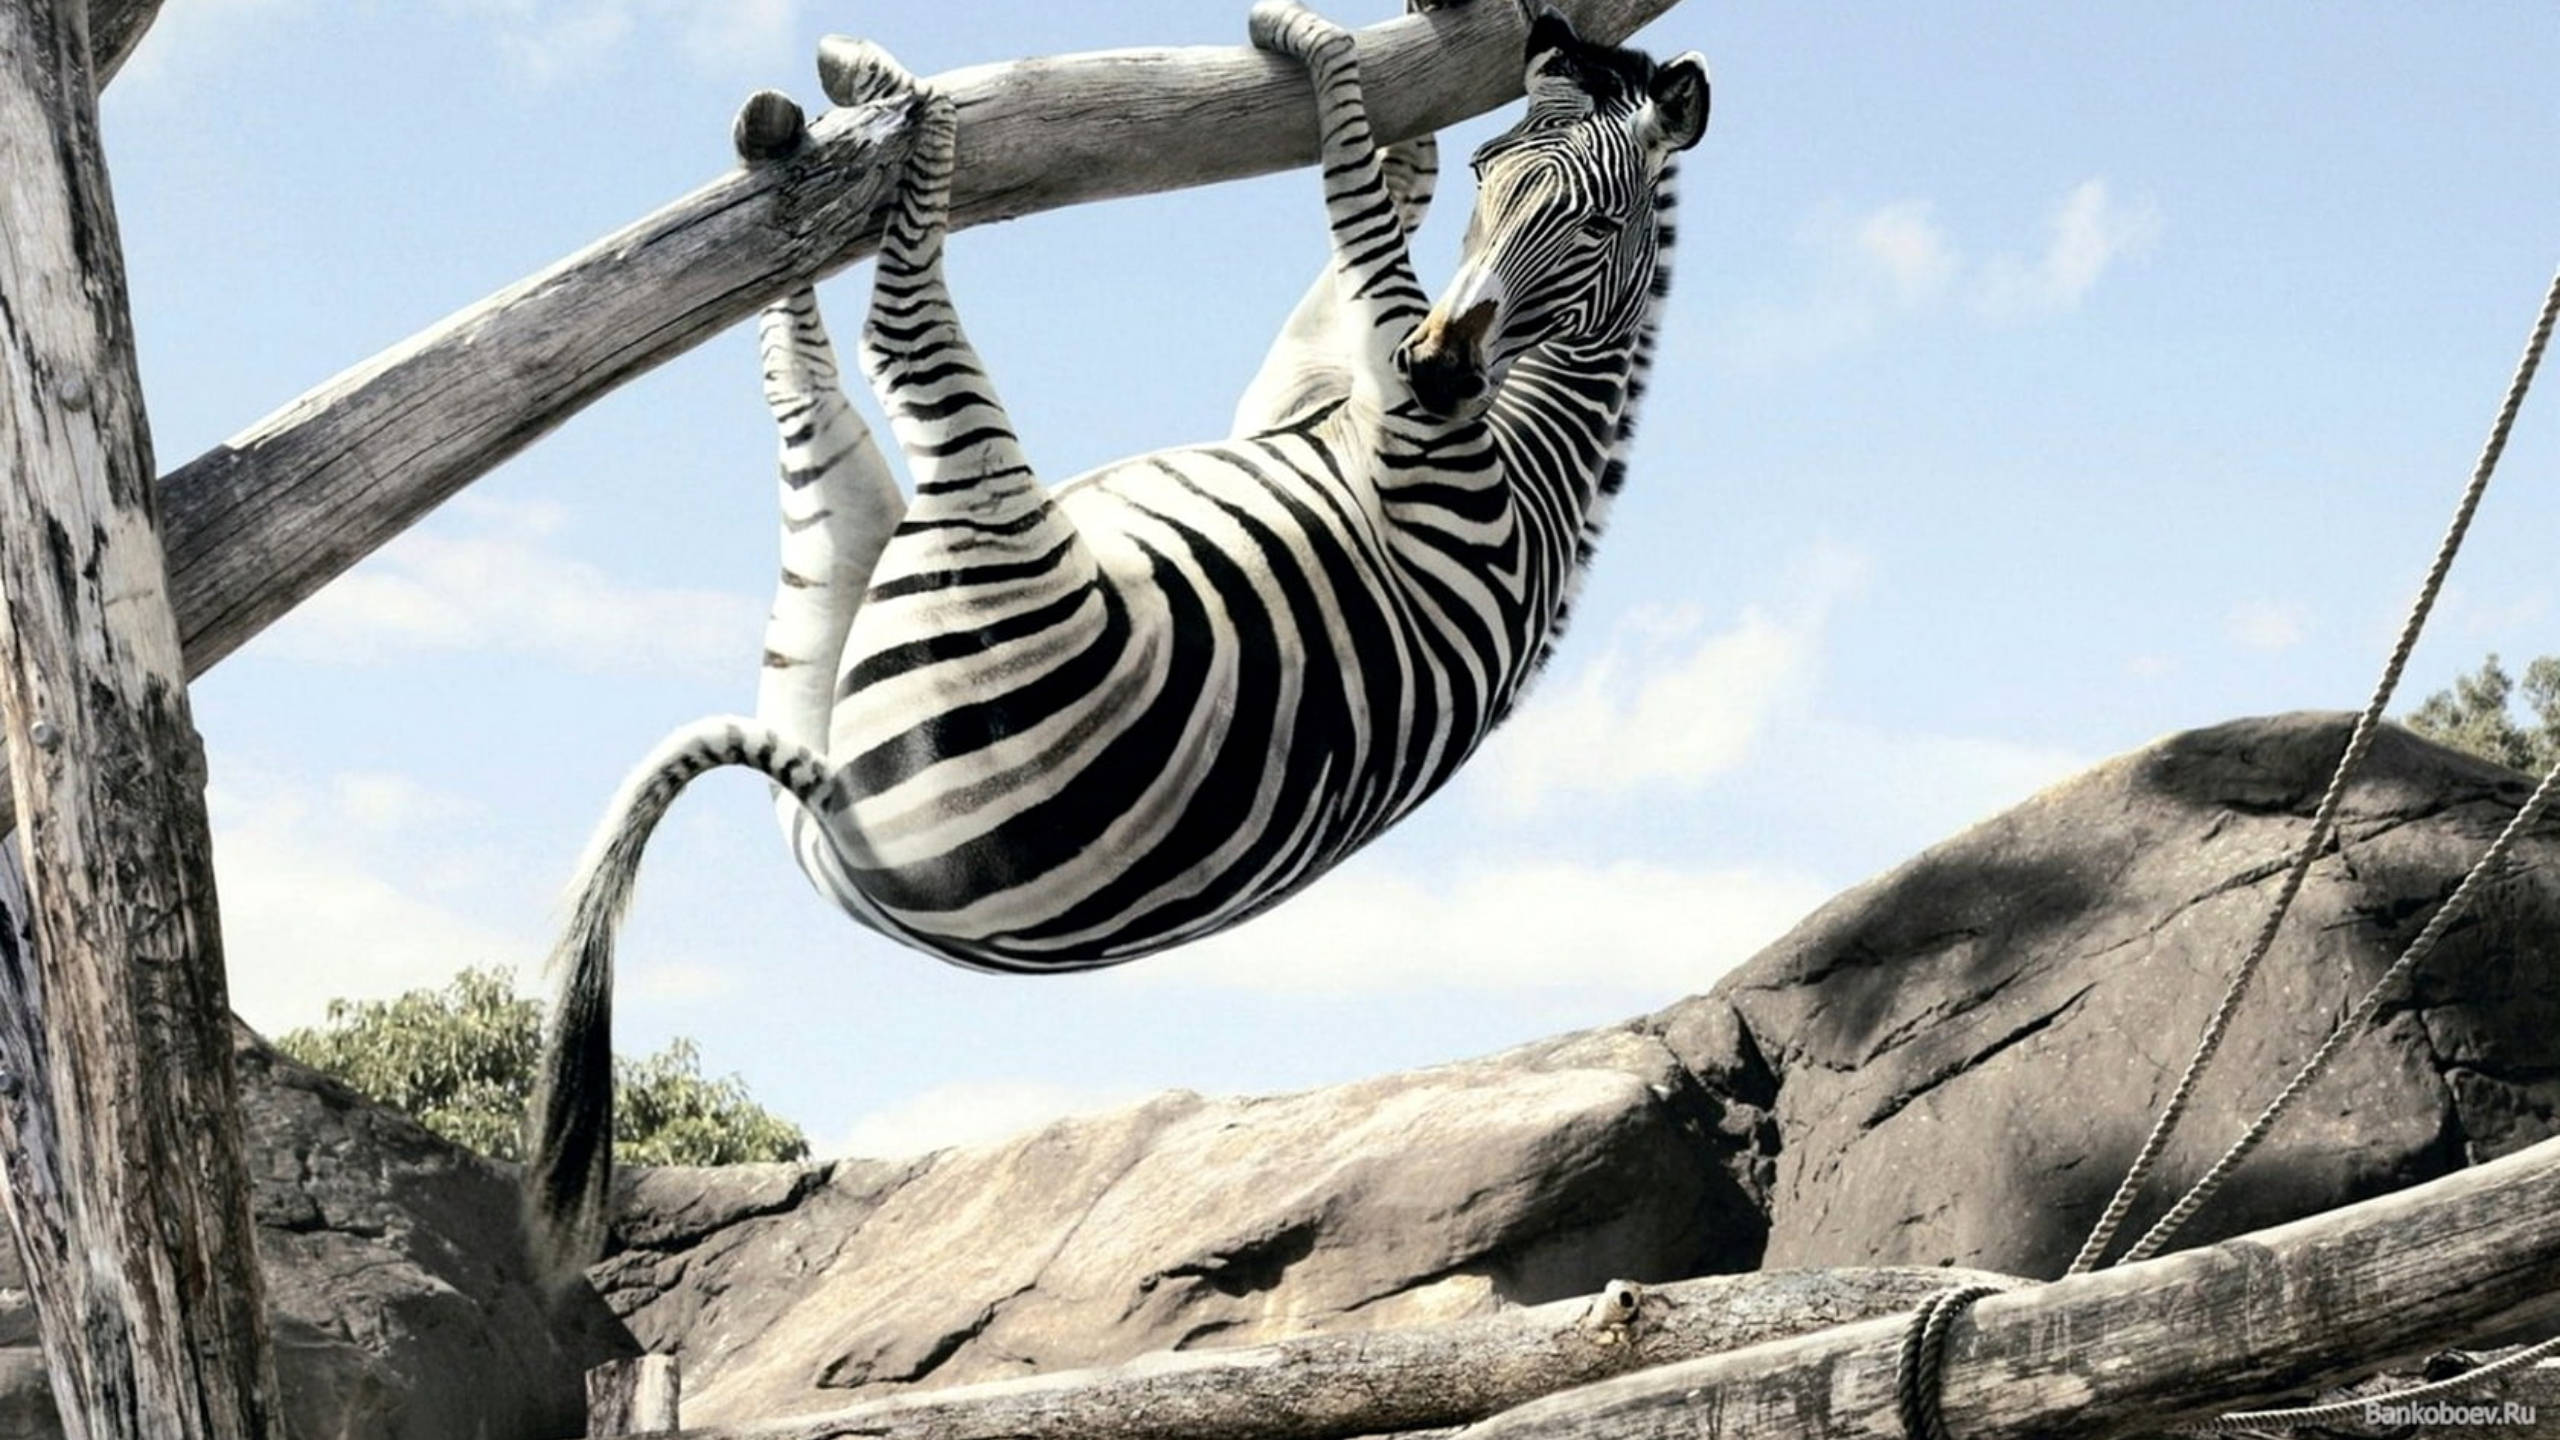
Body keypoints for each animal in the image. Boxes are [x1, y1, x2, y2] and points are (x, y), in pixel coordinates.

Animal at [525, 0, 1710, 1281]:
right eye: (1497, 175)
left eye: (1595, 223)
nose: (1441, 369)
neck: (1532, 450)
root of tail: (841, 816)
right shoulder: (1304, 390)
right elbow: (1383, 199)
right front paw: (1372, 55)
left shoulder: (1409, 434)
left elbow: (1355, 212)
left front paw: (1309, 41)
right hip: (823, 597)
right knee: (799, 378)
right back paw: (797, 149)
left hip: (977, 538)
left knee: (897, 330)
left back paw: (901, 104)